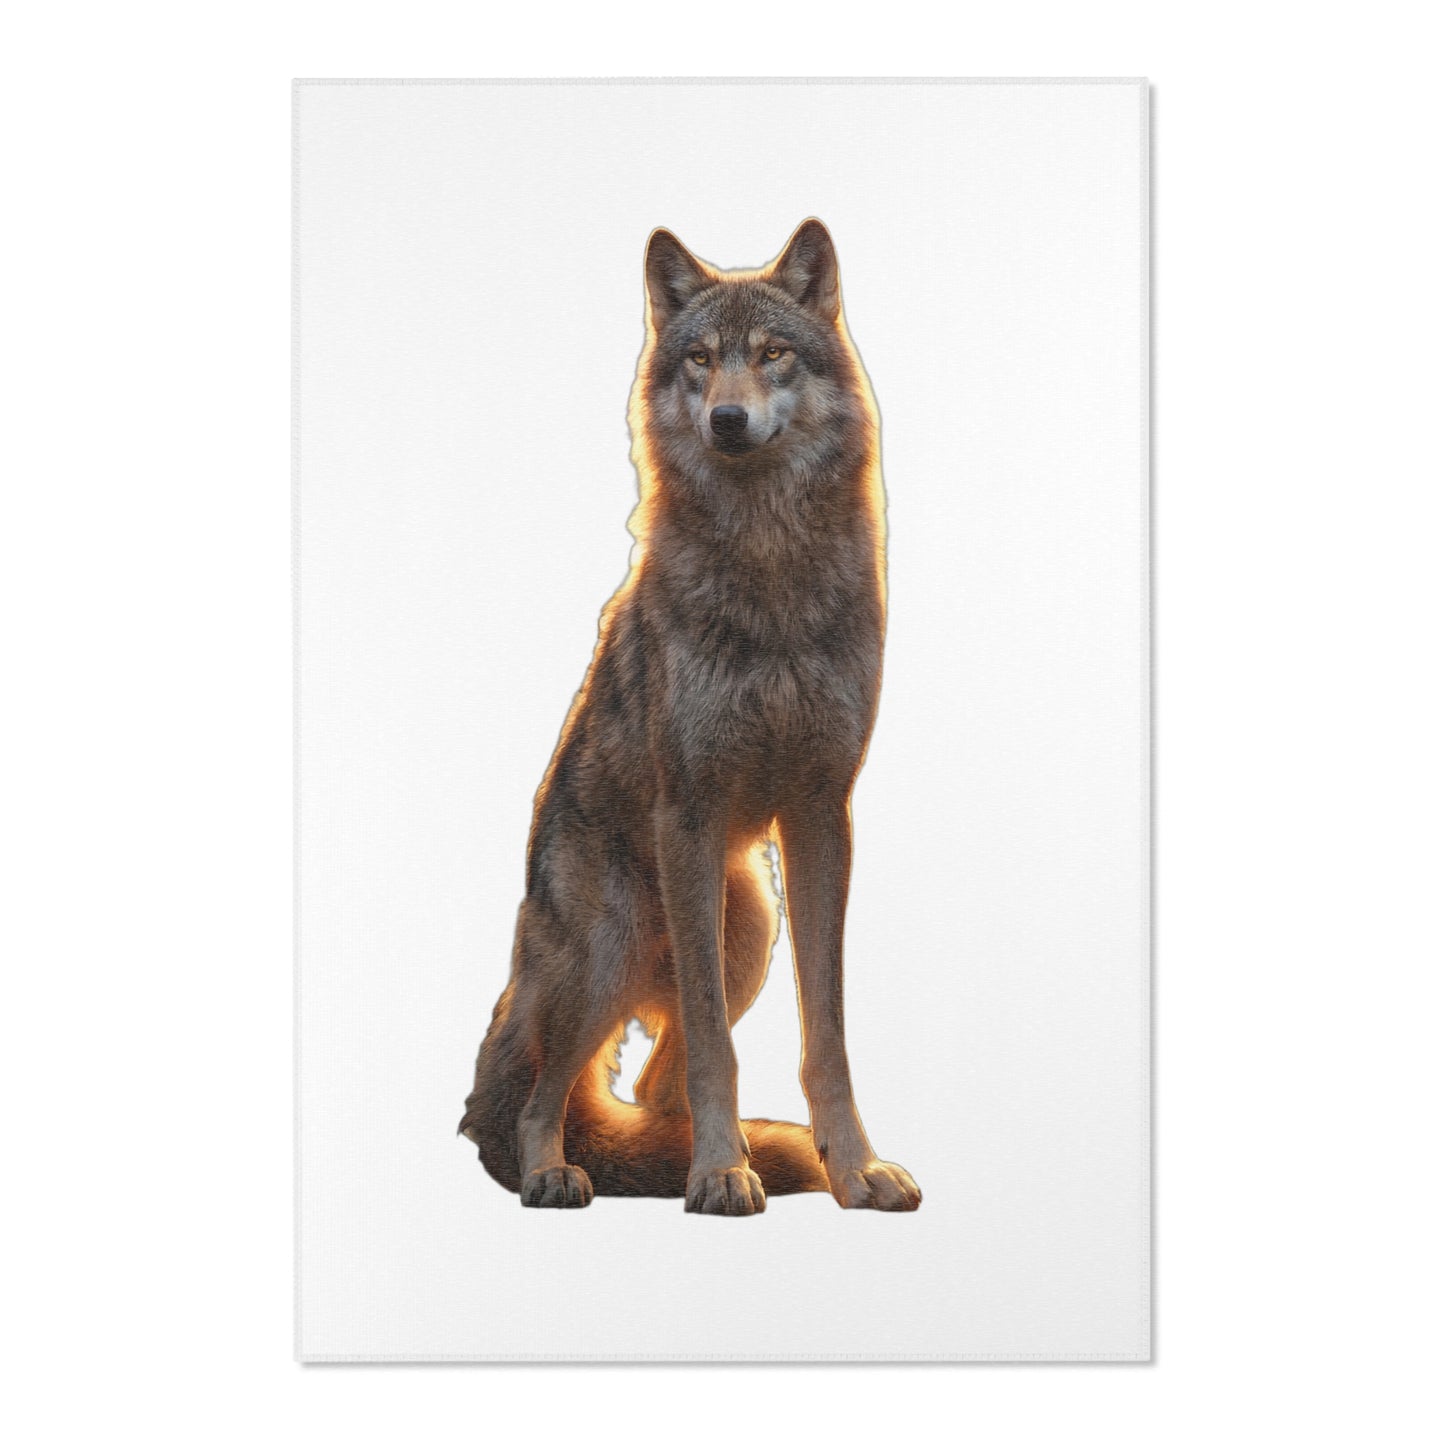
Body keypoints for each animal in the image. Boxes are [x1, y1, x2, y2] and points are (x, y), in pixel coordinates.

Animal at [459, 219, 920, 1215]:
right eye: (700, 359)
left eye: (773, 353)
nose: (727, 421)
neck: (769, 561)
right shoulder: (692, 813)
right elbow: (715, 1045)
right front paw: (717, 1173)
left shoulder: (822, 811)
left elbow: (825, 1035)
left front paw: (853, 1169)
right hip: (614, 943)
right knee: (543, 1092)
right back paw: (559, 1171)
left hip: (745, 923)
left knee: (646, 1083)